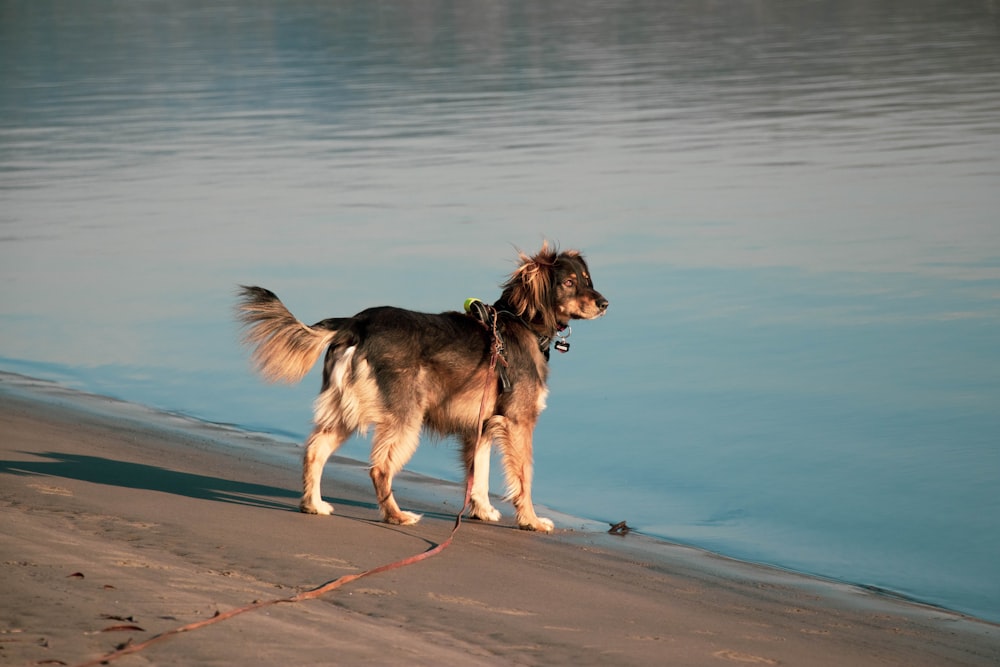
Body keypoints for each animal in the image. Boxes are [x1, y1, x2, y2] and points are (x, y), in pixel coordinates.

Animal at [237, 244, 604, 532]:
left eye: (587, 280)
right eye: (569, 283)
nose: (605, 304)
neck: (521, 322)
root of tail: (356, 323)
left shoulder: (481, 426)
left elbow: (479, 473)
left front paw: (482, 510)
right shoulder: (518, 423)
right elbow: (524, 476)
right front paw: (531, 520)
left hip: (347, 408)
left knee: (315, 450)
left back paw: (313, 505)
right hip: (405, 417)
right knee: (380, 468)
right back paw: (396, 516)